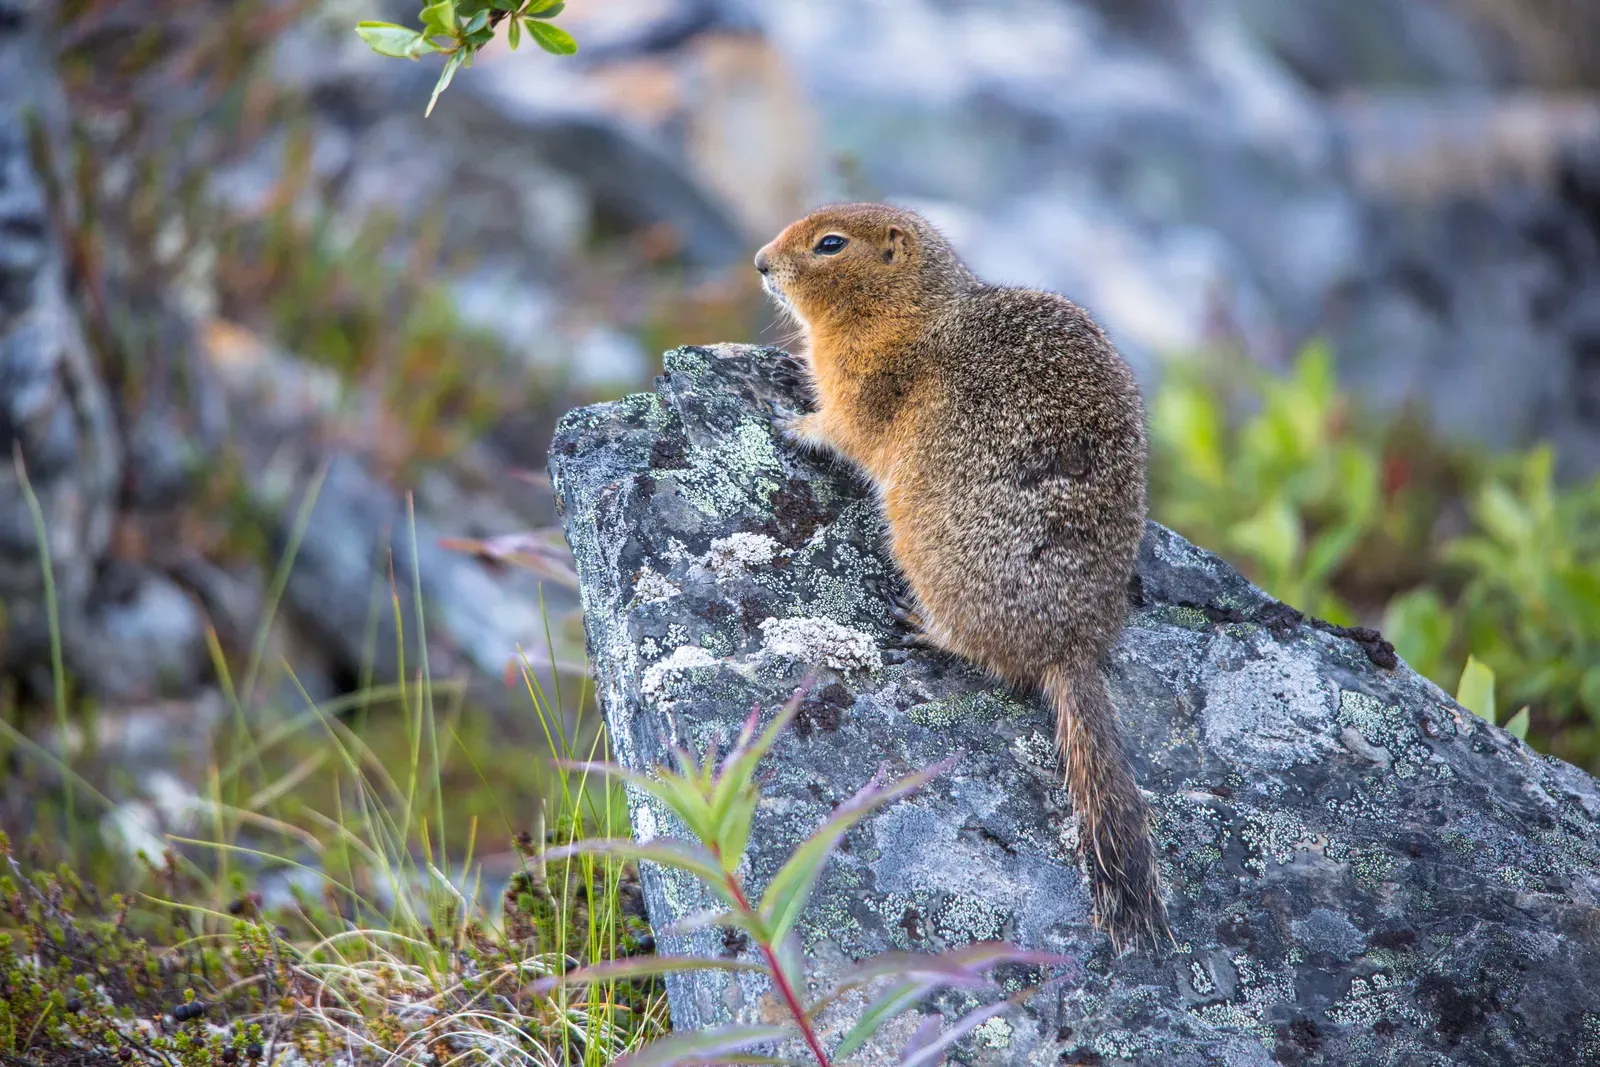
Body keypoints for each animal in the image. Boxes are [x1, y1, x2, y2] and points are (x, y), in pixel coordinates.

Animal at [754, 202, 1168, 949]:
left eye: (830, 243)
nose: (760, 263)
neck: (908, 311)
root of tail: (1073, 646)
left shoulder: (863, 384)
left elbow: (841, 427)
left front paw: (790, 419)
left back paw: (920, 625)